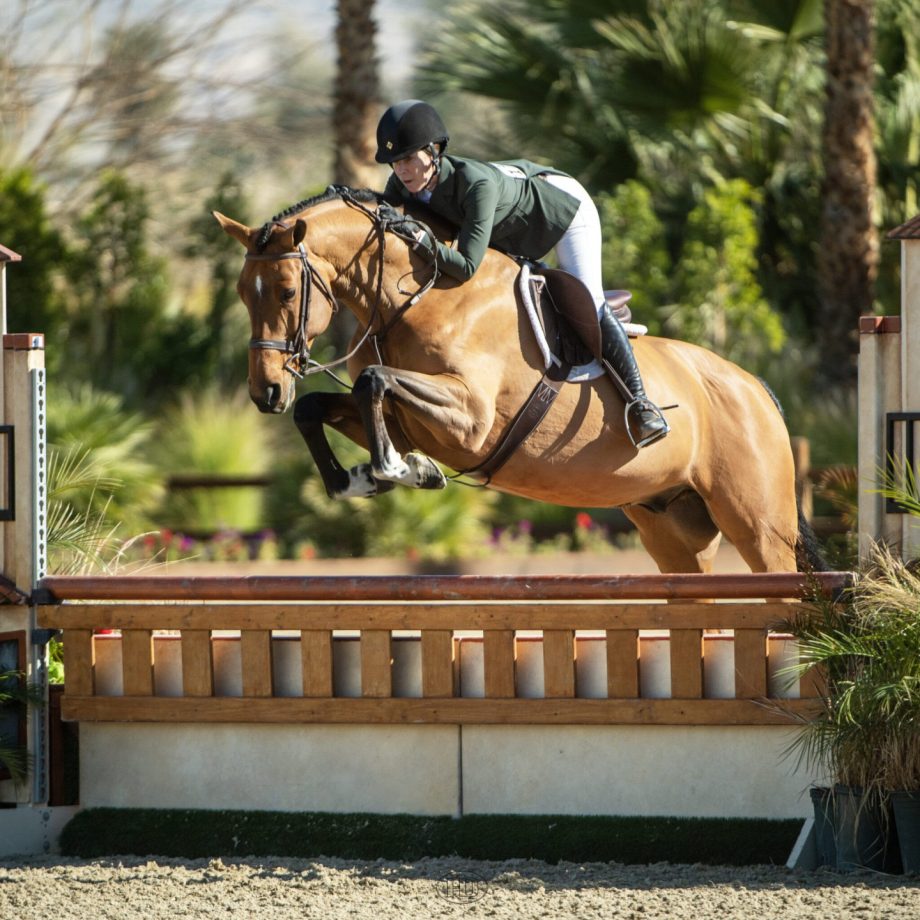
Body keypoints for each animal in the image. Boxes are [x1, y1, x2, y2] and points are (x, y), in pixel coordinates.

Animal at [212, 187, 816, 576]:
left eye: (287, 291)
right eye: (242, 293)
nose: (265, 392)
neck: (417, 296)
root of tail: (755, 388)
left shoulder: (472, 420)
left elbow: (373, 384)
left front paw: (397, 470)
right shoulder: (415, 420)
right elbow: (320, 407)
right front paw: (367, 478)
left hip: (759, 525)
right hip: (673, 528)